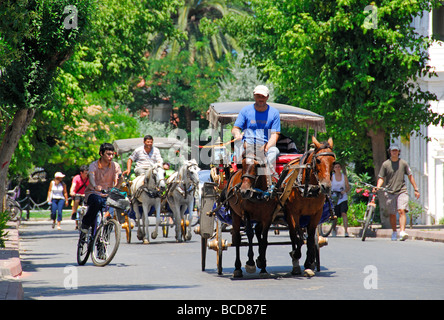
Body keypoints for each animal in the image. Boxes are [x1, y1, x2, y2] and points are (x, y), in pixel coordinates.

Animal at [282, 136, 334, 276]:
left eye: (334, 161)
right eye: (318, 160)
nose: (326, 187)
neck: (309, 188)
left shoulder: (316, 213)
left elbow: (310, 239)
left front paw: (309, 263)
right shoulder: (294, 213)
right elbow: (298, 237)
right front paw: (296, 255)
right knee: (293, 235)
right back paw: (295, 259)